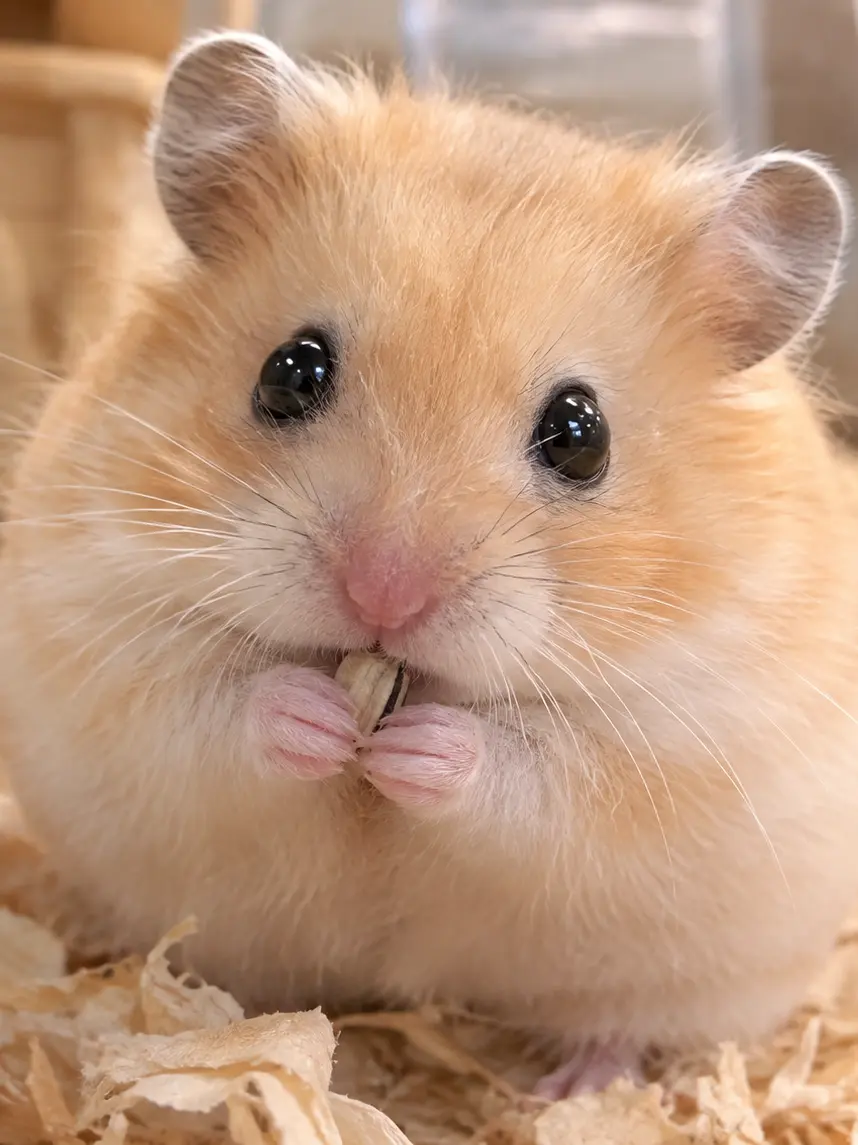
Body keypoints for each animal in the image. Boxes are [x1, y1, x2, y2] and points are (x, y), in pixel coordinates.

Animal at [1, 30, 856, 1098]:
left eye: (581, 435)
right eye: (290, 370)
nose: (382, 593)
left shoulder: (688, 743)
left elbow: (531, 775)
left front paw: (417, 747)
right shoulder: (97, 629)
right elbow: (222, 706)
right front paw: (321, 720)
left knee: (620, 1024)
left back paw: (570, 1089)